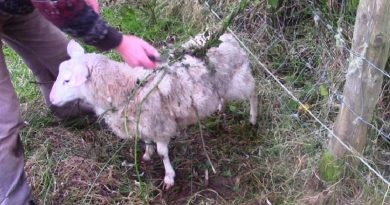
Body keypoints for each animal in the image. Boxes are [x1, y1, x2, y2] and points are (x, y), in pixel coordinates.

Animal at [48, 33, 258, 189]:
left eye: (67, 80)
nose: (51, 100)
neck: (126, 88)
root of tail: (228, 36)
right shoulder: (144, 124)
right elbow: (147, 142)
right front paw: (147, 155)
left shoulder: (161, 125)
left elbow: (163, 152)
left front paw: (169, 177)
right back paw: (220, 108)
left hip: (237, 79)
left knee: (253, 92)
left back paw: (253, 119)